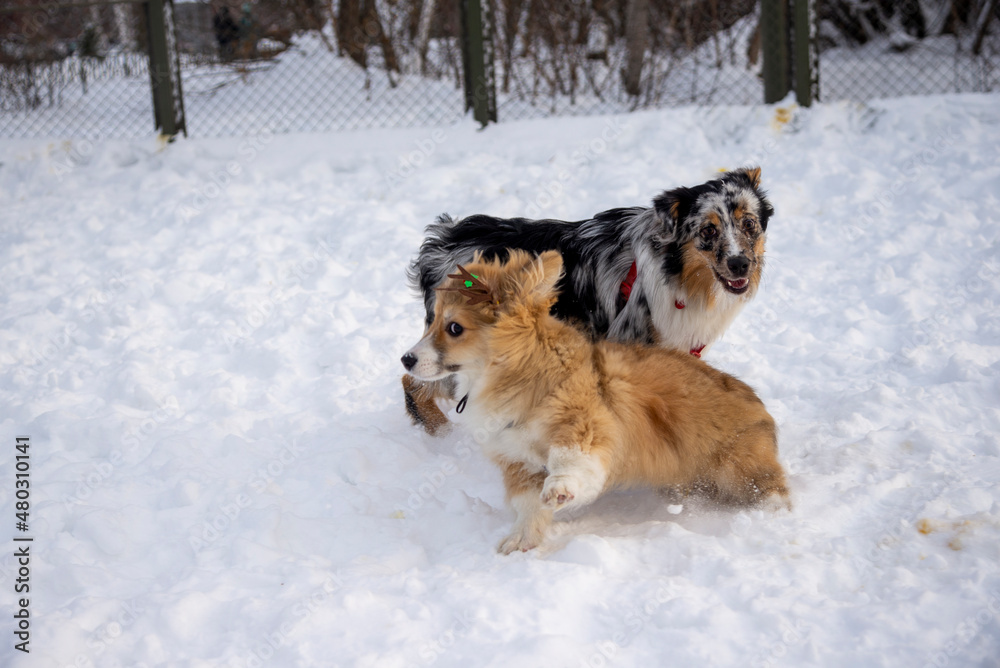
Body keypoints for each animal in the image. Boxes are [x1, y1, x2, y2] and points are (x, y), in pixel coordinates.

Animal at [398, 250, 788, 552]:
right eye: (432, 320)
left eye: (454, 328)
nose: (406, 360)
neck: (520, 374)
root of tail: (763, 412)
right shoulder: (518, 461)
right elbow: (528, 505)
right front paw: (522, 540)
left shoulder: (586, 426)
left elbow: (570, 460)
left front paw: (559, 490)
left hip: (737, 468)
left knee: (772, 487)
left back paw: (772, 510)